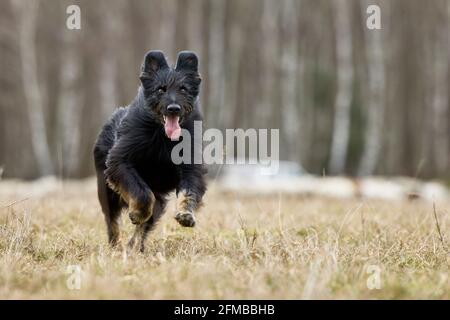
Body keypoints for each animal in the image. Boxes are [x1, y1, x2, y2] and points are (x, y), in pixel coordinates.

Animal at [96, 50, 208, 252]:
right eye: (160, 89)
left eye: (183, 89)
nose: (173, 108)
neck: (163, 137)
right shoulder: (120, 161)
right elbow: (142, 193)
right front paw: (137, 213)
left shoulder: (191, 167)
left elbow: (189, 189)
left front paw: (185, 214)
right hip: (108, 193)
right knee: (112, 220)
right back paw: (117, 245)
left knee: (144, 226)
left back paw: (134, 246)